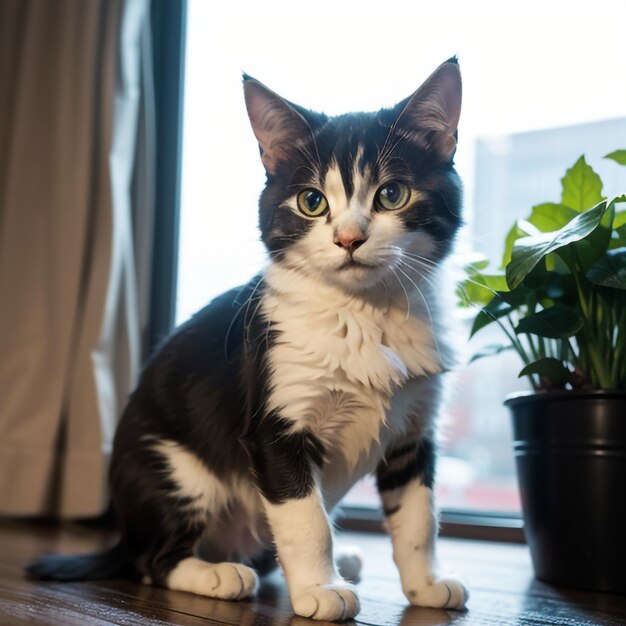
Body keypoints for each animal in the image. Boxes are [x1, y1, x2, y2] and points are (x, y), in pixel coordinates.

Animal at [28, 57, 468, 620]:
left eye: (392, 194)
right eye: (311, 201)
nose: (348, 239)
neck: (365, 313)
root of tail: (125, 532)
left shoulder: (414, 432)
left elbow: (419, 517)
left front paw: (427, 584)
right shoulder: (275, 423)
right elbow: (305, 519)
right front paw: (320, 590)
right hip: (172, 469)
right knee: (153, 562)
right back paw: (218, 574)